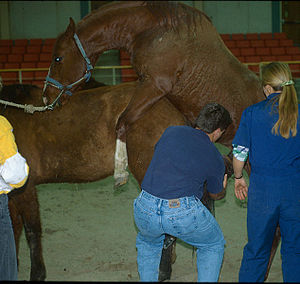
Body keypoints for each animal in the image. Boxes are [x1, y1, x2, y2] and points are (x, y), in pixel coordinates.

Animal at [41, 1, 264, 186]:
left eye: (58, 58)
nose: (46, 96)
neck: (152, 31)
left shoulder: (155, 85)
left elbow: (122, 122)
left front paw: (120, 171)